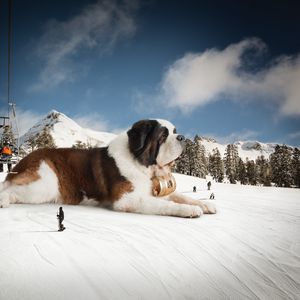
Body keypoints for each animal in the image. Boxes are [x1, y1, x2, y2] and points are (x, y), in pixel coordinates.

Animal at [0, 119, 216, 218]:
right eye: (163, 136)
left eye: (174, 131)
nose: (183, 138)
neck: (142, 164)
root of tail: (24, 159)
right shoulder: (127, 199)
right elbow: (165, 204)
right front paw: (189, 210)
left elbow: (180, 196)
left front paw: (204, 204)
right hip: (45, 183)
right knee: (10, 190)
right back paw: (4, 200)